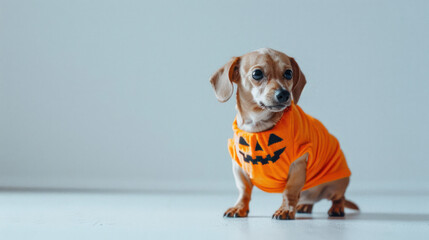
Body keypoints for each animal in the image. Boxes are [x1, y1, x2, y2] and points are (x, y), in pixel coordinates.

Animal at [209, 47, 356, 220]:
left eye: (288, 73)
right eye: (257, 74)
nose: (284, 94)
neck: (258, 126)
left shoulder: (298, 165)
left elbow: (289, 192)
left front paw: (285, 209)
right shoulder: (239, 168)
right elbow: (244, 191)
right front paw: (239, 208)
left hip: (336, 185)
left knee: (339, 197)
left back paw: (336, 208)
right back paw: (304, 206)